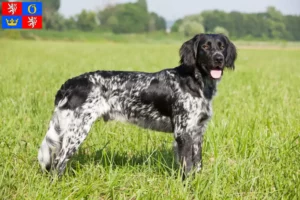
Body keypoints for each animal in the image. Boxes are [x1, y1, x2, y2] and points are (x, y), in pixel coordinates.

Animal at [37, 33, 237, 178]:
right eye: (205, 46)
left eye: (222, 46)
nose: (219, 58)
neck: (195, 82)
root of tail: (70, 83)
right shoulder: (183, 132)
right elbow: (187, 167)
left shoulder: (197, 132)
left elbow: (197, 164)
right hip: (77, 130)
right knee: (58, 163)